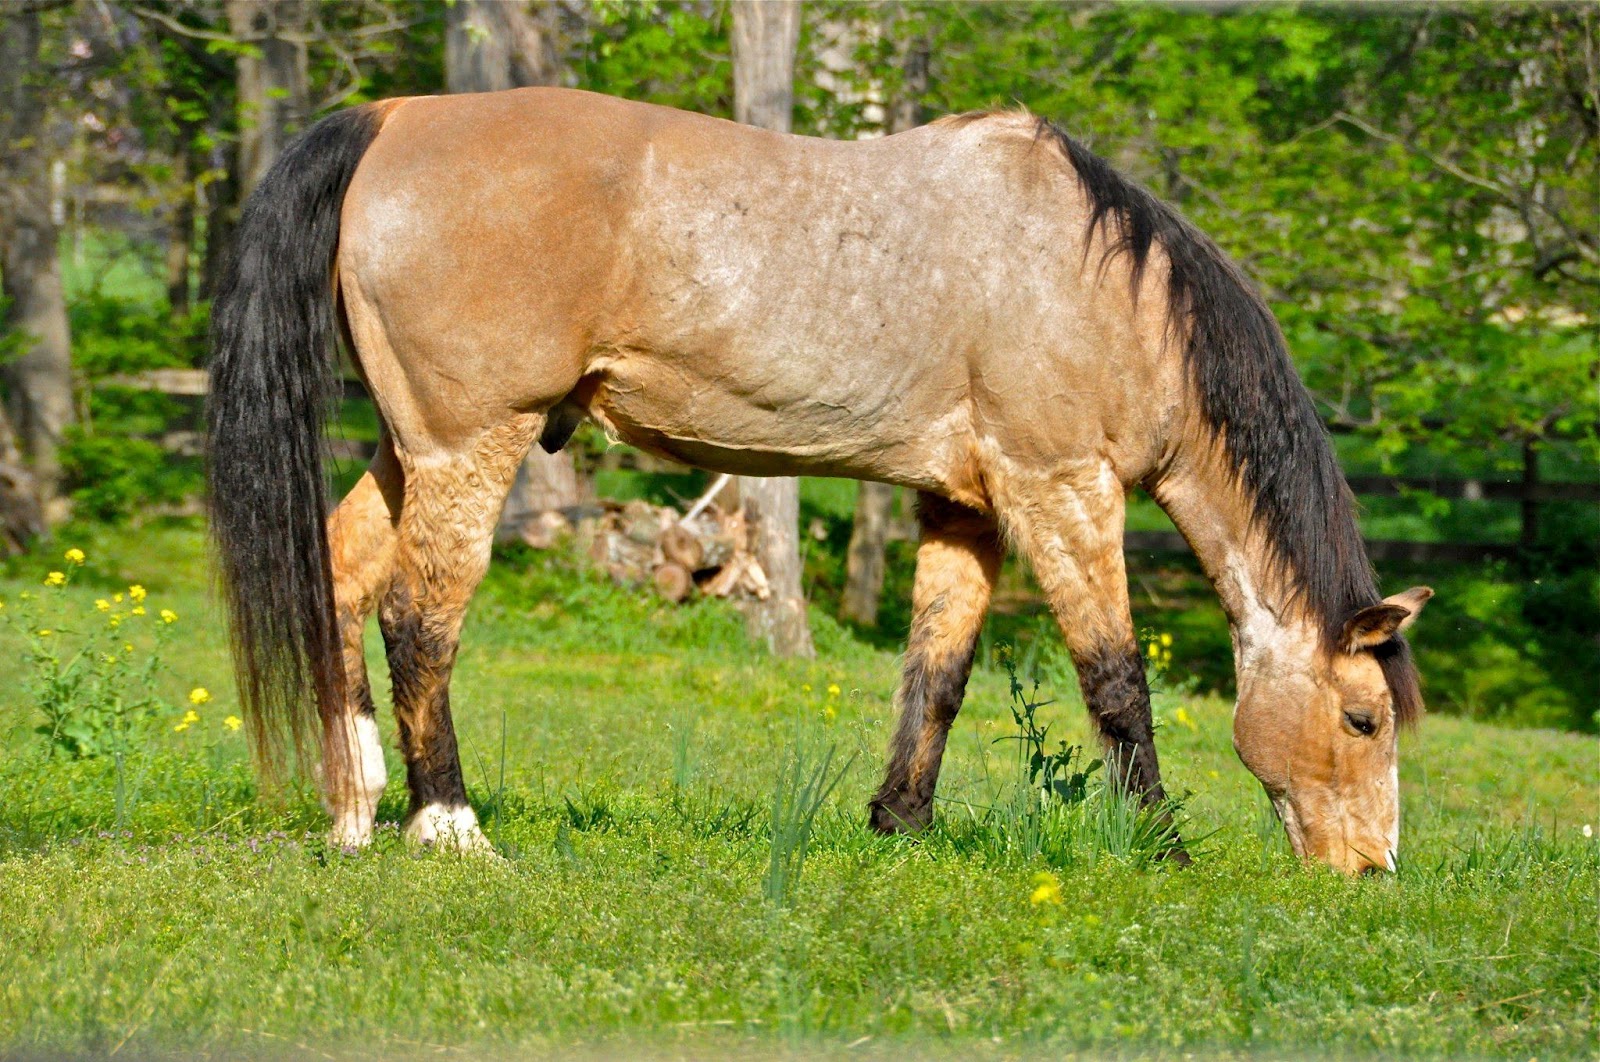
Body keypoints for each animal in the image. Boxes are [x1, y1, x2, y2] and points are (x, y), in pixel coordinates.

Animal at [208, 88, 1431, 875]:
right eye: (1363, 719)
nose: (1369, 871)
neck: (1096, 285)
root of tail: (392, 117)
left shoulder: (966, 509)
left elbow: (937, 673)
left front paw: (903, 827)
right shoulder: (1059, 488)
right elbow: (1116, 681)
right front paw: (1164, 850)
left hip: (407, 448)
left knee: (338, 586)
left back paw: (354, 812)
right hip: (471, 446)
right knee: (419, 621)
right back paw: (448, 827)